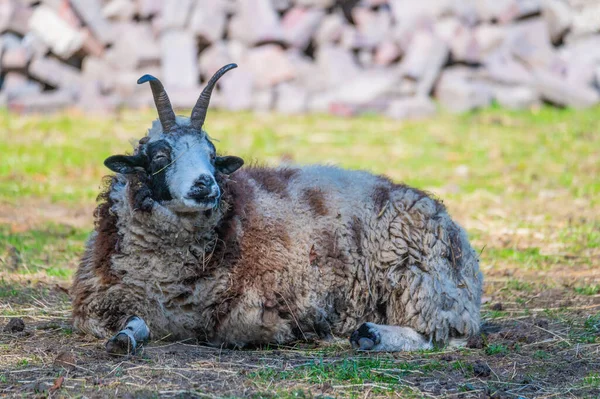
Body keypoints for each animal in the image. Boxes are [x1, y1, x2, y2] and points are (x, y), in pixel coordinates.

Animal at [70, 64, 482, 354]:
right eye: (159, 155)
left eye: (212, 156)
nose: (206, 185)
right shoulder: (97, 305)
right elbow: (131, 323)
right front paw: (124, 339)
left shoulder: (249, 307)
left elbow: (235, 329)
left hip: (421, 282)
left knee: (442, 335)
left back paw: (372, 335)